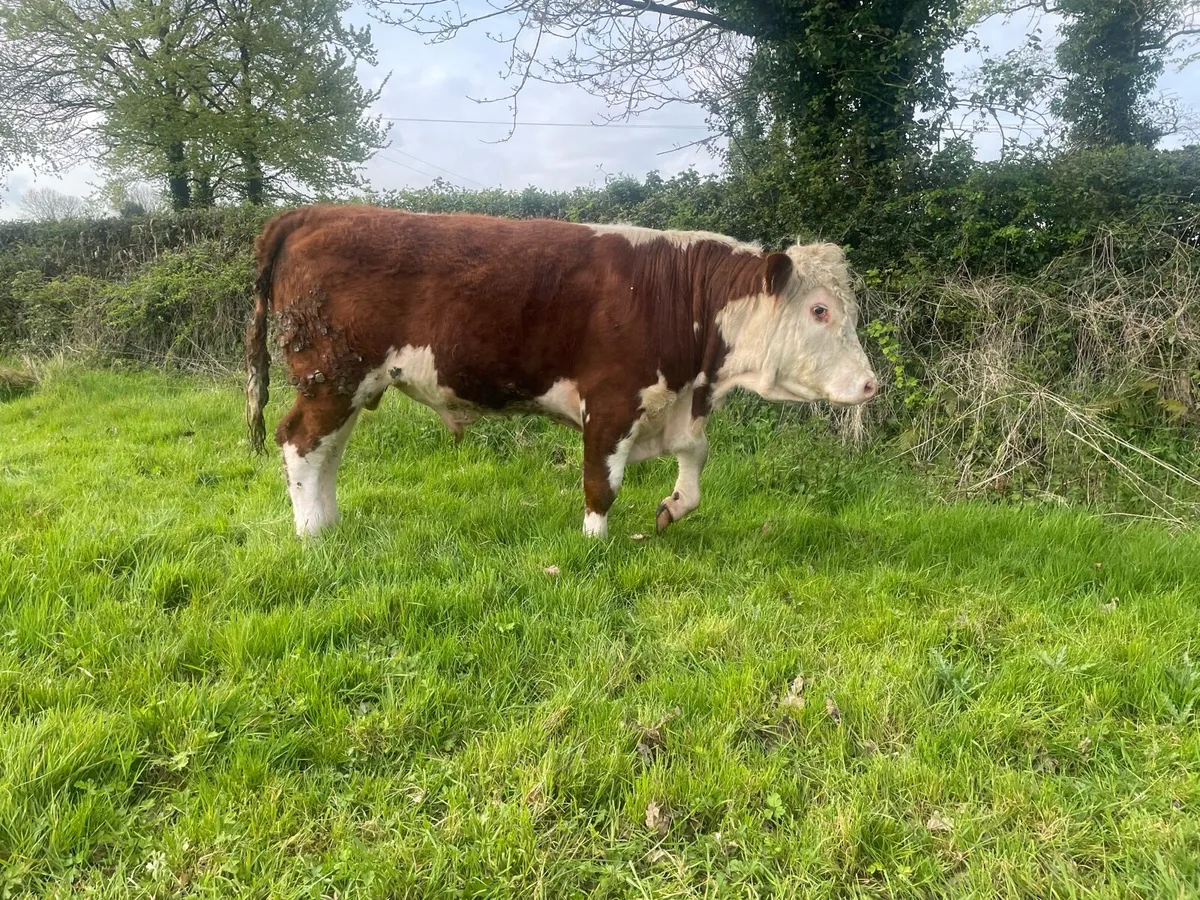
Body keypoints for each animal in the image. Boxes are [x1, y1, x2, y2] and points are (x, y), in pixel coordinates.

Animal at [244, 205, 878, 539]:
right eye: (820, 310)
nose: (872, 383)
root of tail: (314, 212)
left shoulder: (673, 401)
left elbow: (695, 458)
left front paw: (673, 507)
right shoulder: (612, 399)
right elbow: (602, 480)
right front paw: (594, 544)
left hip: (353, 384)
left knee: (327, 449)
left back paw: (329, 522)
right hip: (330, 376)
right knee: (299, 441)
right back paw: (311, 534)